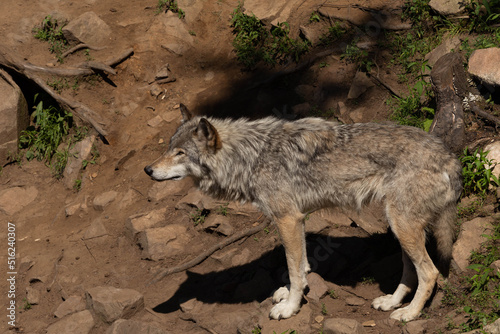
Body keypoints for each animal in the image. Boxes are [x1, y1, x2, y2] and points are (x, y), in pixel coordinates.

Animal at [144, 104, 460, 320]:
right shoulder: (298, 219)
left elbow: (294, 271)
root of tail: (449, 157)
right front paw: (292, 292)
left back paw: (409, 314)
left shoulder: (287, 219)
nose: (148, 169)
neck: (250, 157)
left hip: (402, 226)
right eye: (169, 148)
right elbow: (302, 265)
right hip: (398, 226)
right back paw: (392, 302)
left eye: (181, 154)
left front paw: (289, 308)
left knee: (430, 273)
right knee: (411, 271)